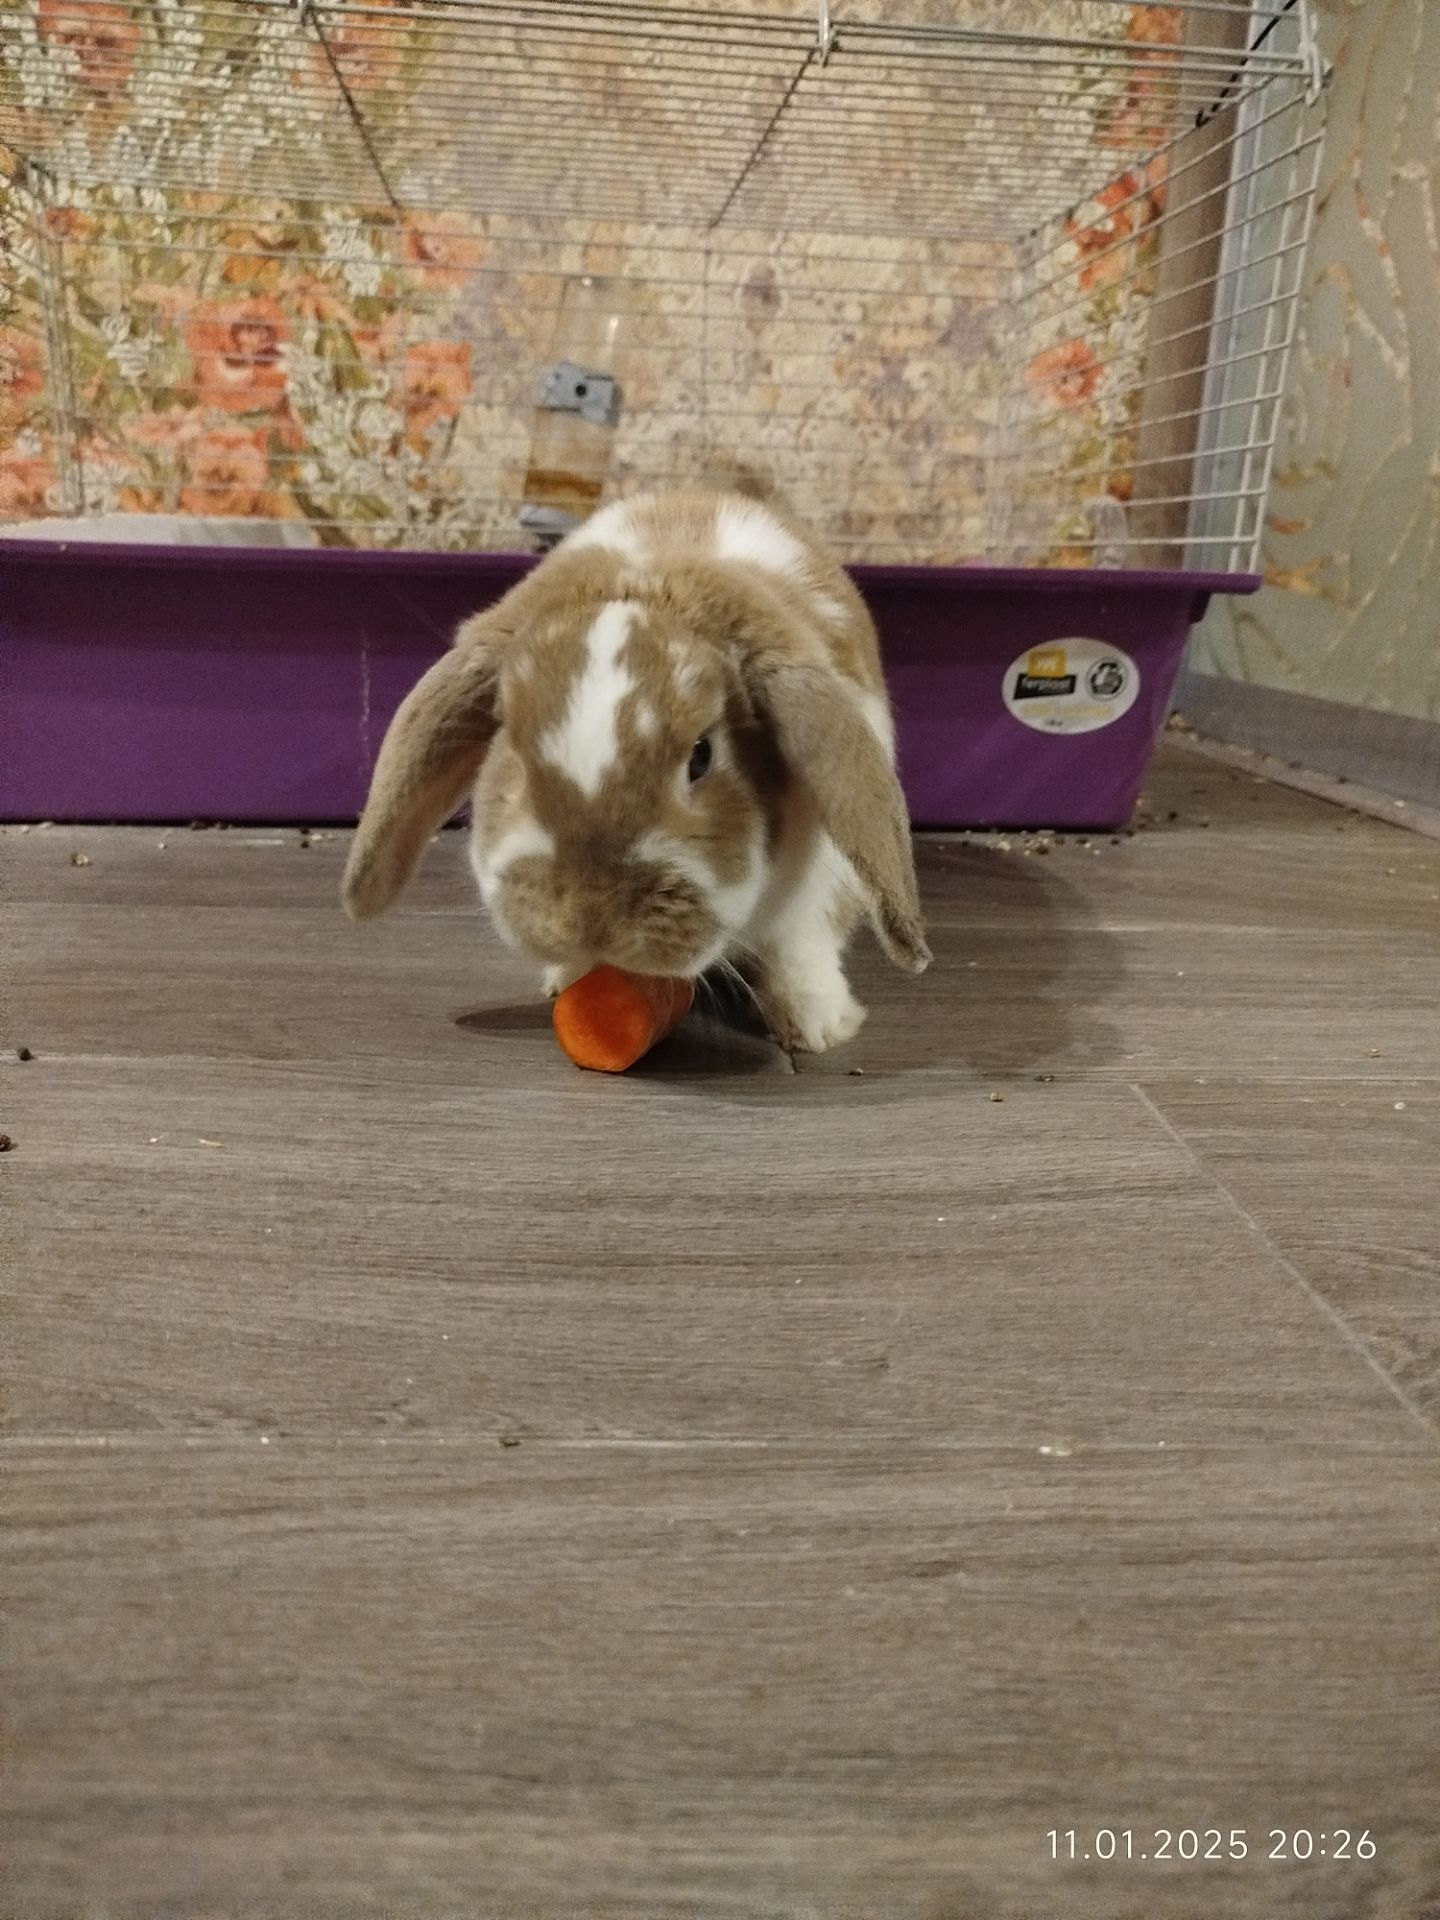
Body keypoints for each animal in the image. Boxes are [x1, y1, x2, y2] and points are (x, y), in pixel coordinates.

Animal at [342, 486, 929, 1053]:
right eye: (509, 742)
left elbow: (798, 951)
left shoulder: (820, 892)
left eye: (702, 756)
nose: (589, 920)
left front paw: (816, 1030)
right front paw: (573, 977)